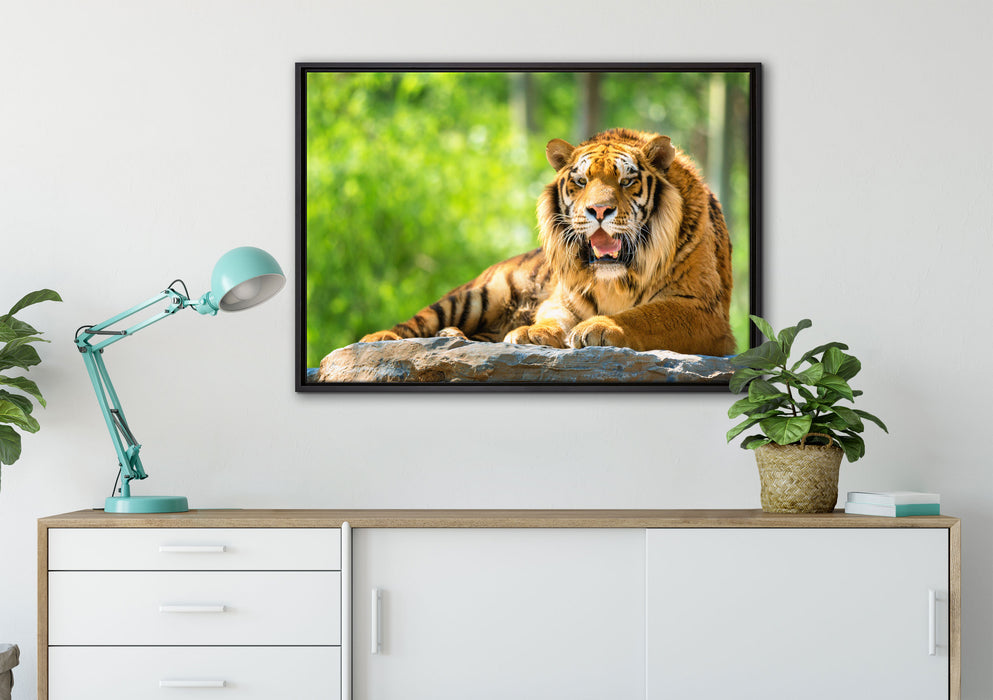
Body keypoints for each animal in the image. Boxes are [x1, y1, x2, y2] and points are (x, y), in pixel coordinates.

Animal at [358, 127, 737, 357]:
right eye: (581, 181)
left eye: (627, 181)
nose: (600, 210)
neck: (616, 278)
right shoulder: (564, 297)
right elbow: (553, 317)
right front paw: (531, 333)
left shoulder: (702, 309)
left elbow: (646, 315)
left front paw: (600, 327)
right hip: (477, 295)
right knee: (418, 321)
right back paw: (380, 340)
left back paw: (451, 336)